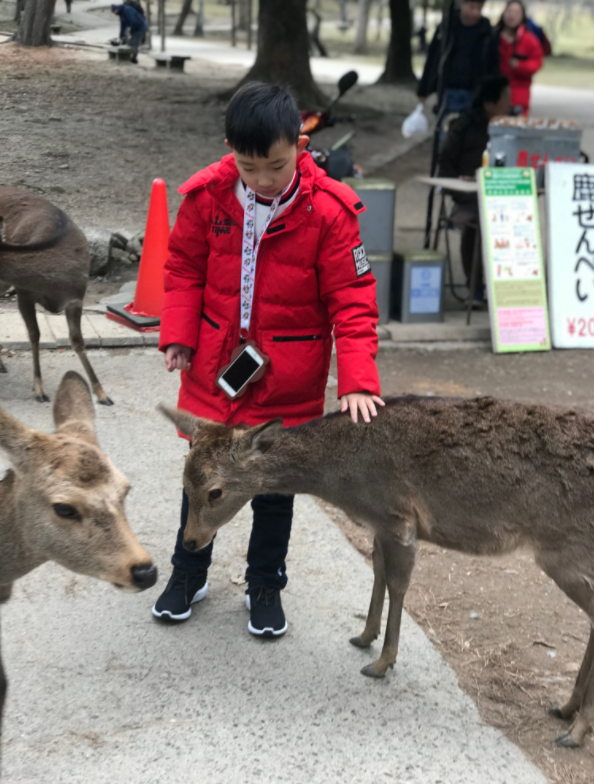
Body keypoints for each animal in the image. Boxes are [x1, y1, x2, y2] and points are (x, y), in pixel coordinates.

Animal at [0, 184, 112, 404]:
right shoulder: (24, 293)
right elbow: (34, 334)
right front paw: (39, 390)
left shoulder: (76, 298)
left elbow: (77, 340)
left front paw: (102, 393)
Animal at [162, 396, 594, 752]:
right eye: (183, 482)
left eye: (215, 491)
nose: (191, 540)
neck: (341, 478)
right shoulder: (378, 526)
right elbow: (379, 572)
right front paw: (364, 636)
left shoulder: (396, 518)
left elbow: (399, 584)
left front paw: (382, 662)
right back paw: (566, 707)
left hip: (565, 550)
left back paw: (575, 731)